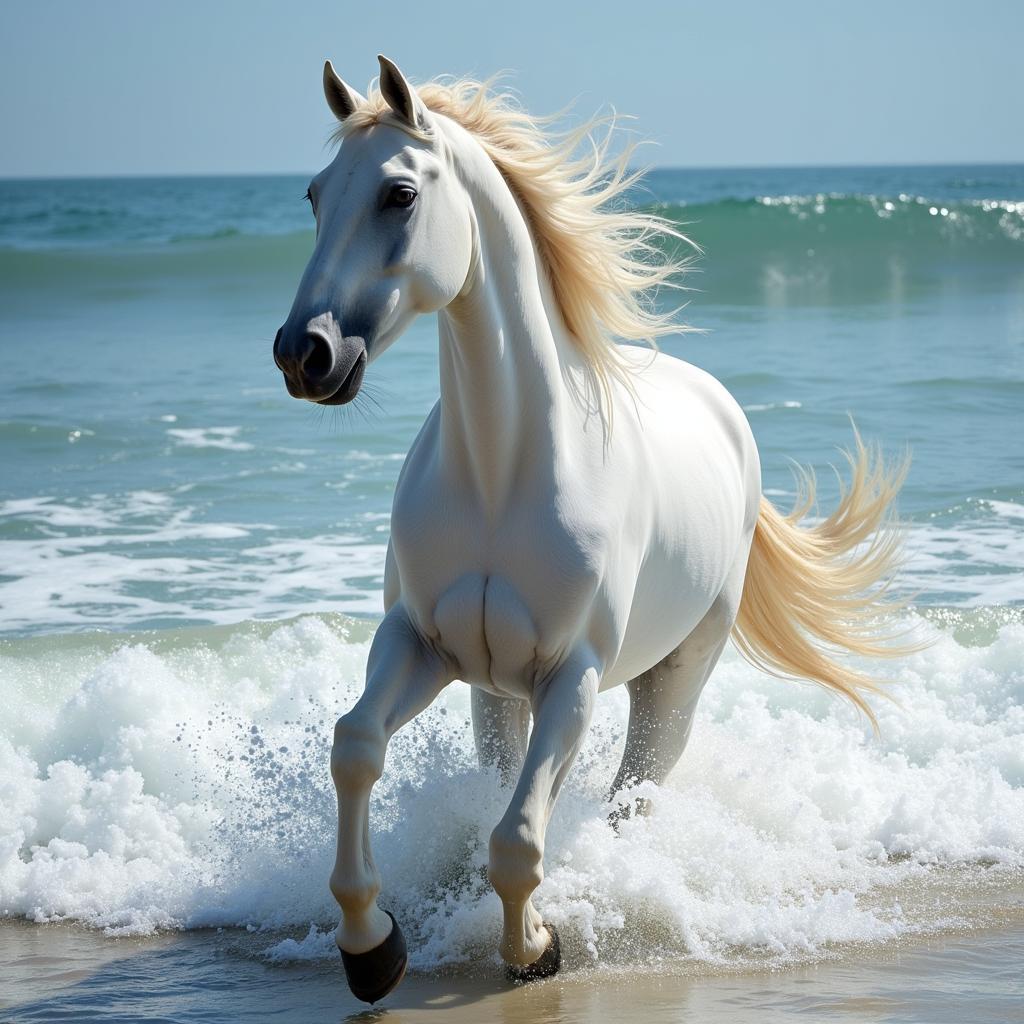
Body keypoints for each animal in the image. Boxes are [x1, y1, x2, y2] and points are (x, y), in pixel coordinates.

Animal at [272, 54, 905, 999]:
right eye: (315, 194)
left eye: (398, 194)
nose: (305, 352)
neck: (502, 474)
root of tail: (723, 410)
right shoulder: (418, 643)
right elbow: (355, 747)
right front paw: (372, 947)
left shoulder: (571, 676)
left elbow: (518, 839)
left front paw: (535, 947)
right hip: (492, 694)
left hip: (673, 681)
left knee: (629, 799)